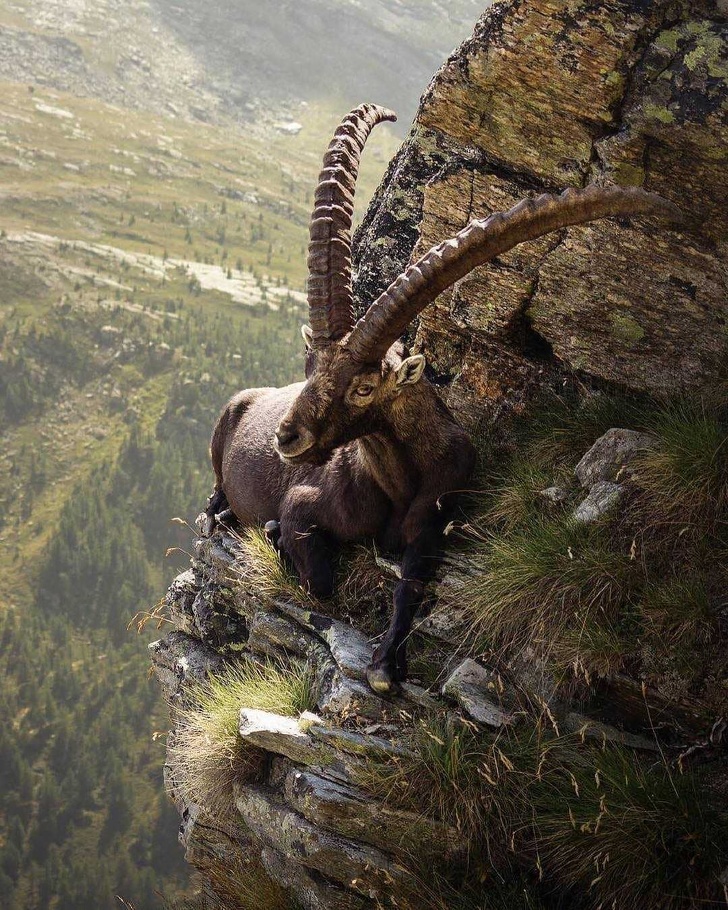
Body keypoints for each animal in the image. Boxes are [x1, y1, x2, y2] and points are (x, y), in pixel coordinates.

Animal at [206, 103, 683, 694]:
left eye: (364, 386)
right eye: (310, 365)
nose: (286, 437)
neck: (396, 478)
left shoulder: (436, 518)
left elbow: (411, 581)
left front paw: (385, 665)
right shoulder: (303, 504)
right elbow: (317, 579)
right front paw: (273, 534)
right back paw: (222, 513)